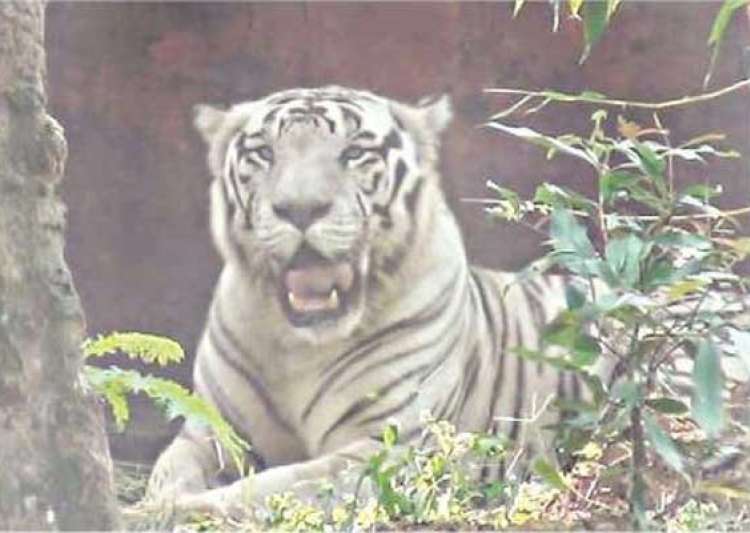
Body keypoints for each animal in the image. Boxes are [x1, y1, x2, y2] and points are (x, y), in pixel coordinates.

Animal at [144, 86, 611, 514]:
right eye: (264, 153)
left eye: (353, 153)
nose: (300, 209)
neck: (295, 347)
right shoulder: (209, 431)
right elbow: (167, 473)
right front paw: (158, 505)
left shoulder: (388, 448)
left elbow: (280, 487)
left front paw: (185, 511)